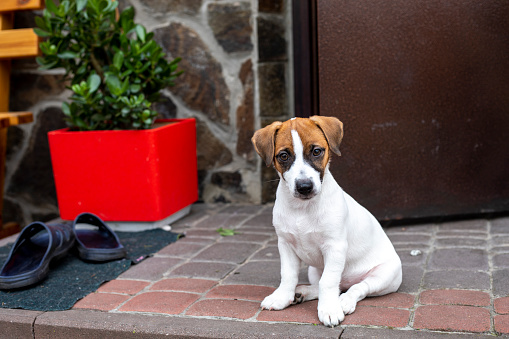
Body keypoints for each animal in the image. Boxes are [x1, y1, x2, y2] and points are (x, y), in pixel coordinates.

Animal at [250, 116, 400, 326]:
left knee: (358, 288)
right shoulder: (285, 244)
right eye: (283, 156)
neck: (302, 209)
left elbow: (328, 281)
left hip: (384, 276)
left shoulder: (335, 246)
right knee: (330, 285)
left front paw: (329, 309)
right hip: (314, 270)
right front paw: (282, 297)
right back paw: (302, 292)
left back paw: (344, 301)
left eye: (316, 151)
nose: (304, 187)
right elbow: (288, 275)